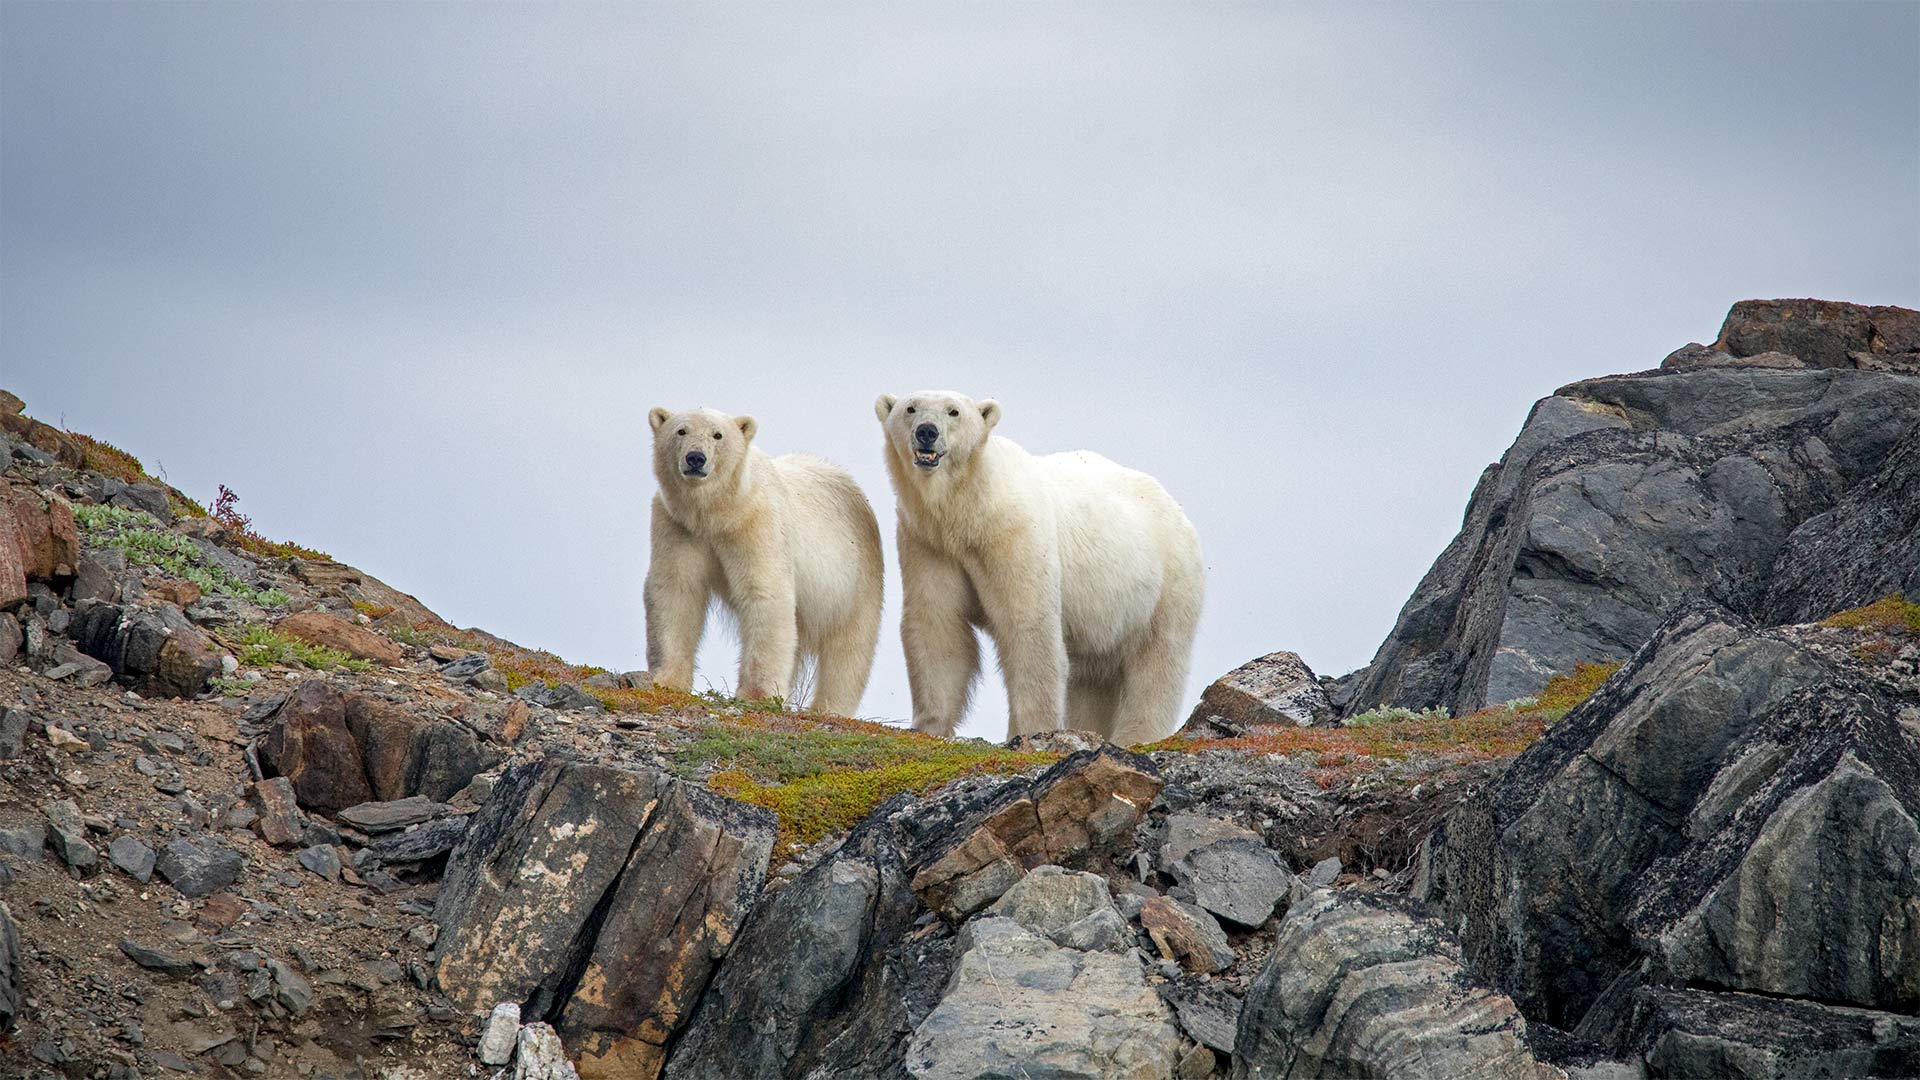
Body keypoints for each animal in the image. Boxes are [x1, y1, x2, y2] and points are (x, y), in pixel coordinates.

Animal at [645, 403, 883, 714]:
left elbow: (765, 594)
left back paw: (828, 708)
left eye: (718, 435)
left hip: (855, 579)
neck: (717, 514)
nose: (696, 458)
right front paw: (666, 679)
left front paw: (756, 695)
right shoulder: (679, 526)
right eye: (680, 430)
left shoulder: (757, 524)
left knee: (849, 648)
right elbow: (676, 590)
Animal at [879, 390, 1198, 745]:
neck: (971, 509)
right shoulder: (929, 543)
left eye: (954, 411)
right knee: (1093, 679)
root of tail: (1175, 508)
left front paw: (1032, 731)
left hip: (1166, 586)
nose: (927, 432)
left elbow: (1029, 627)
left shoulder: (1014, 534)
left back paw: (1136, 736)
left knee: (1157, 665)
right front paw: (929, 725)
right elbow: (938, 623)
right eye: (910, 408)